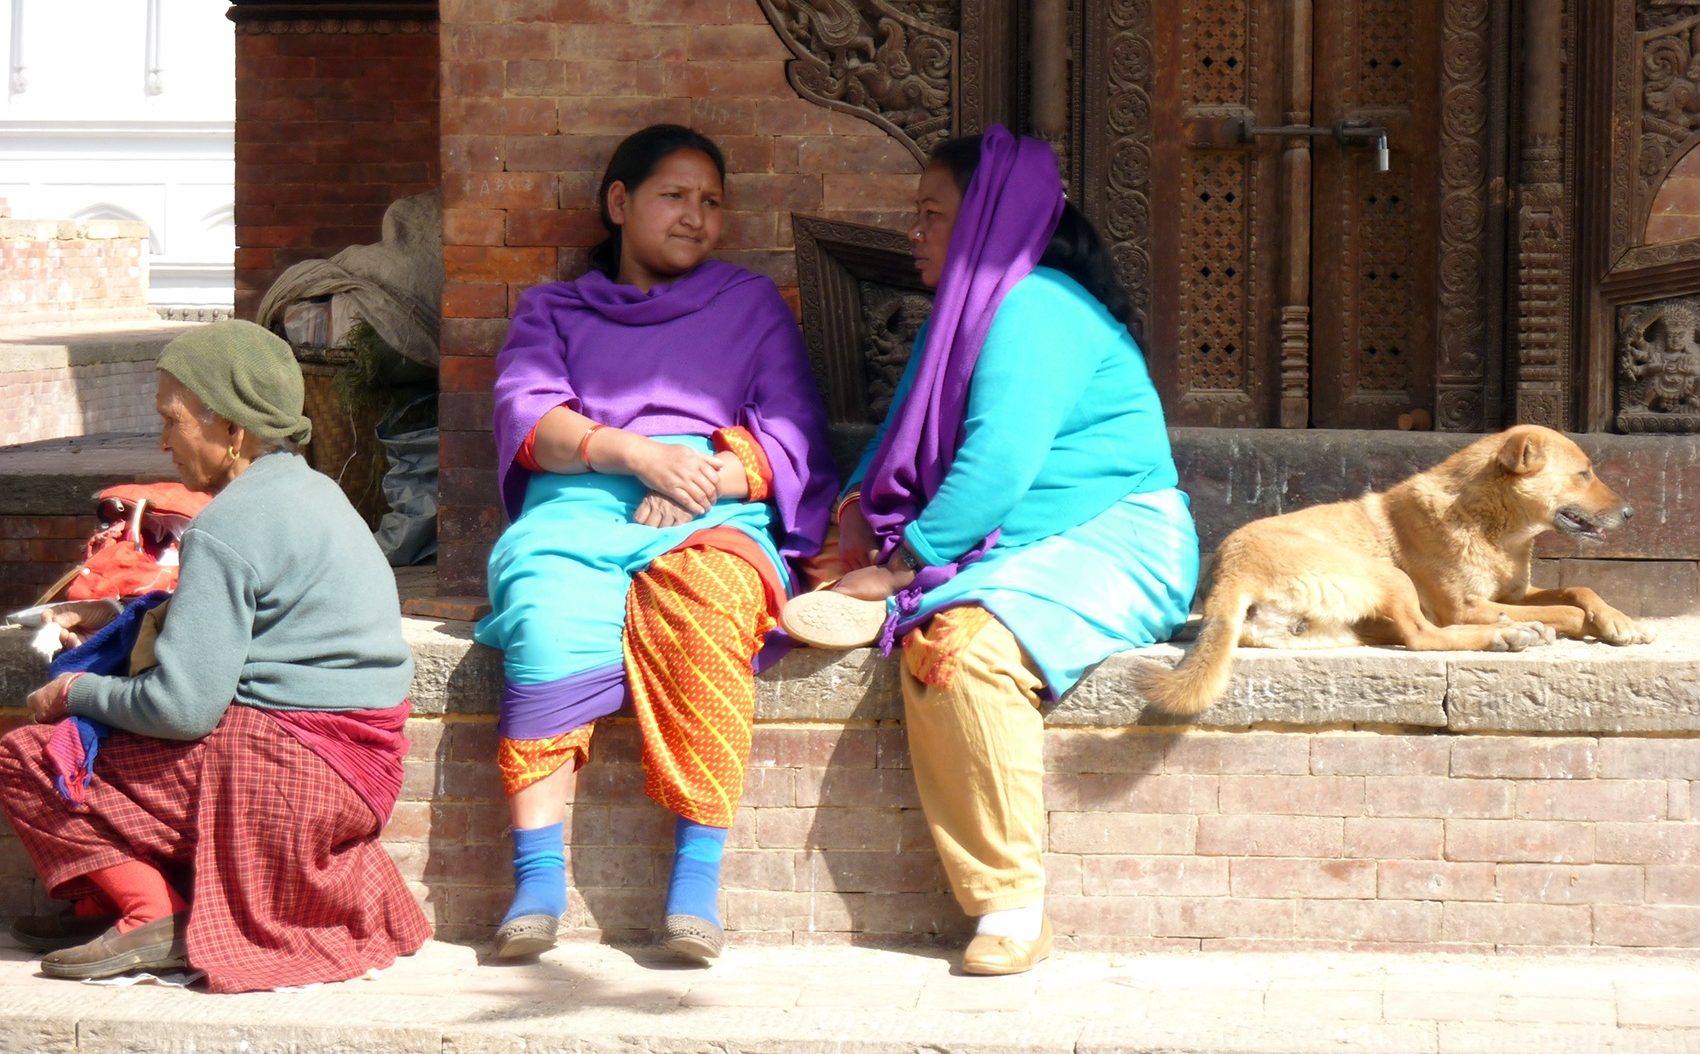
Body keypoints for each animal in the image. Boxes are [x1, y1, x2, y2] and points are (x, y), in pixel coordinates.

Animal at [1142, 426, 1645, 717]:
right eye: (1584, 473)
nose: (1630, 513)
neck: (1498, 529)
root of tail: (1228, 574)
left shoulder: (1516, 593)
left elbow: (1578, 588)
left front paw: (1619, 619)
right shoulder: (1463, 606)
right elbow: (1567, 610)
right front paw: (1592, 624)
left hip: (1339, 626)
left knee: (1409, 631)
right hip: (1387, 576)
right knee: (1423, 635)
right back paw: (1506, 634)